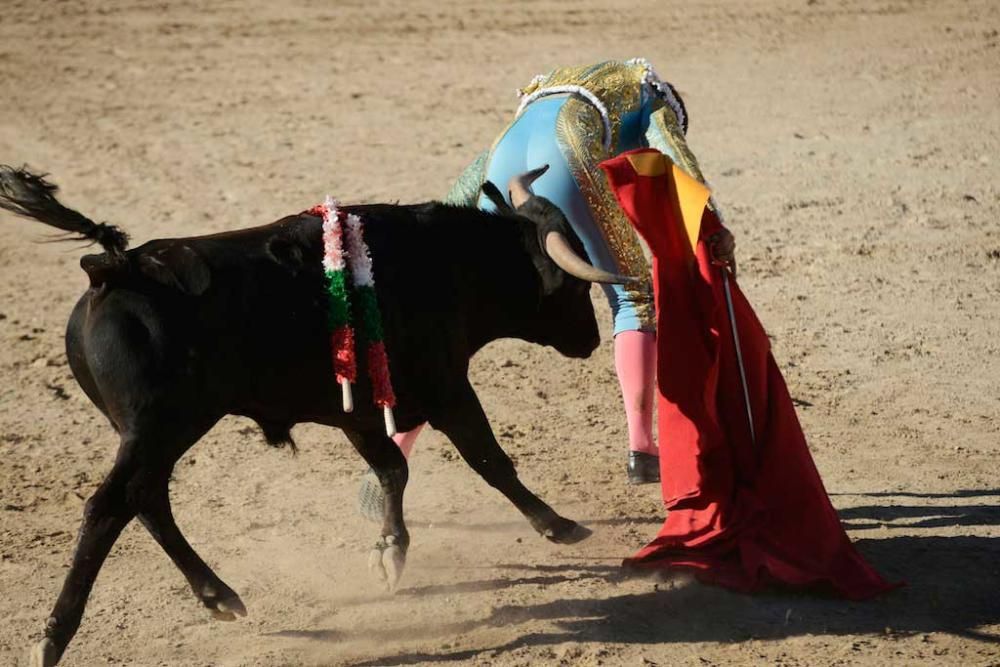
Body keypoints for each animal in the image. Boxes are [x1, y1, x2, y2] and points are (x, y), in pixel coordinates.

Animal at [0, 164, 624, 664]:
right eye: (572, 285)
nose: (592, 340)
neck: (449, 265)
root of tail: (113, 269)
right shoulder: (449, 390)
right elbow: (490, 460)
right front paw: (558, 525)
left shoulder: (360, 413)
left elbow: (393, 470)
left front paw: (390, 552)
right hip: (159, 428)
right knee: (110, 507)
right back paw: (54, 637)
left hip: (146, 434)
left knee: (146, 500)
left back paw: (218, 596)